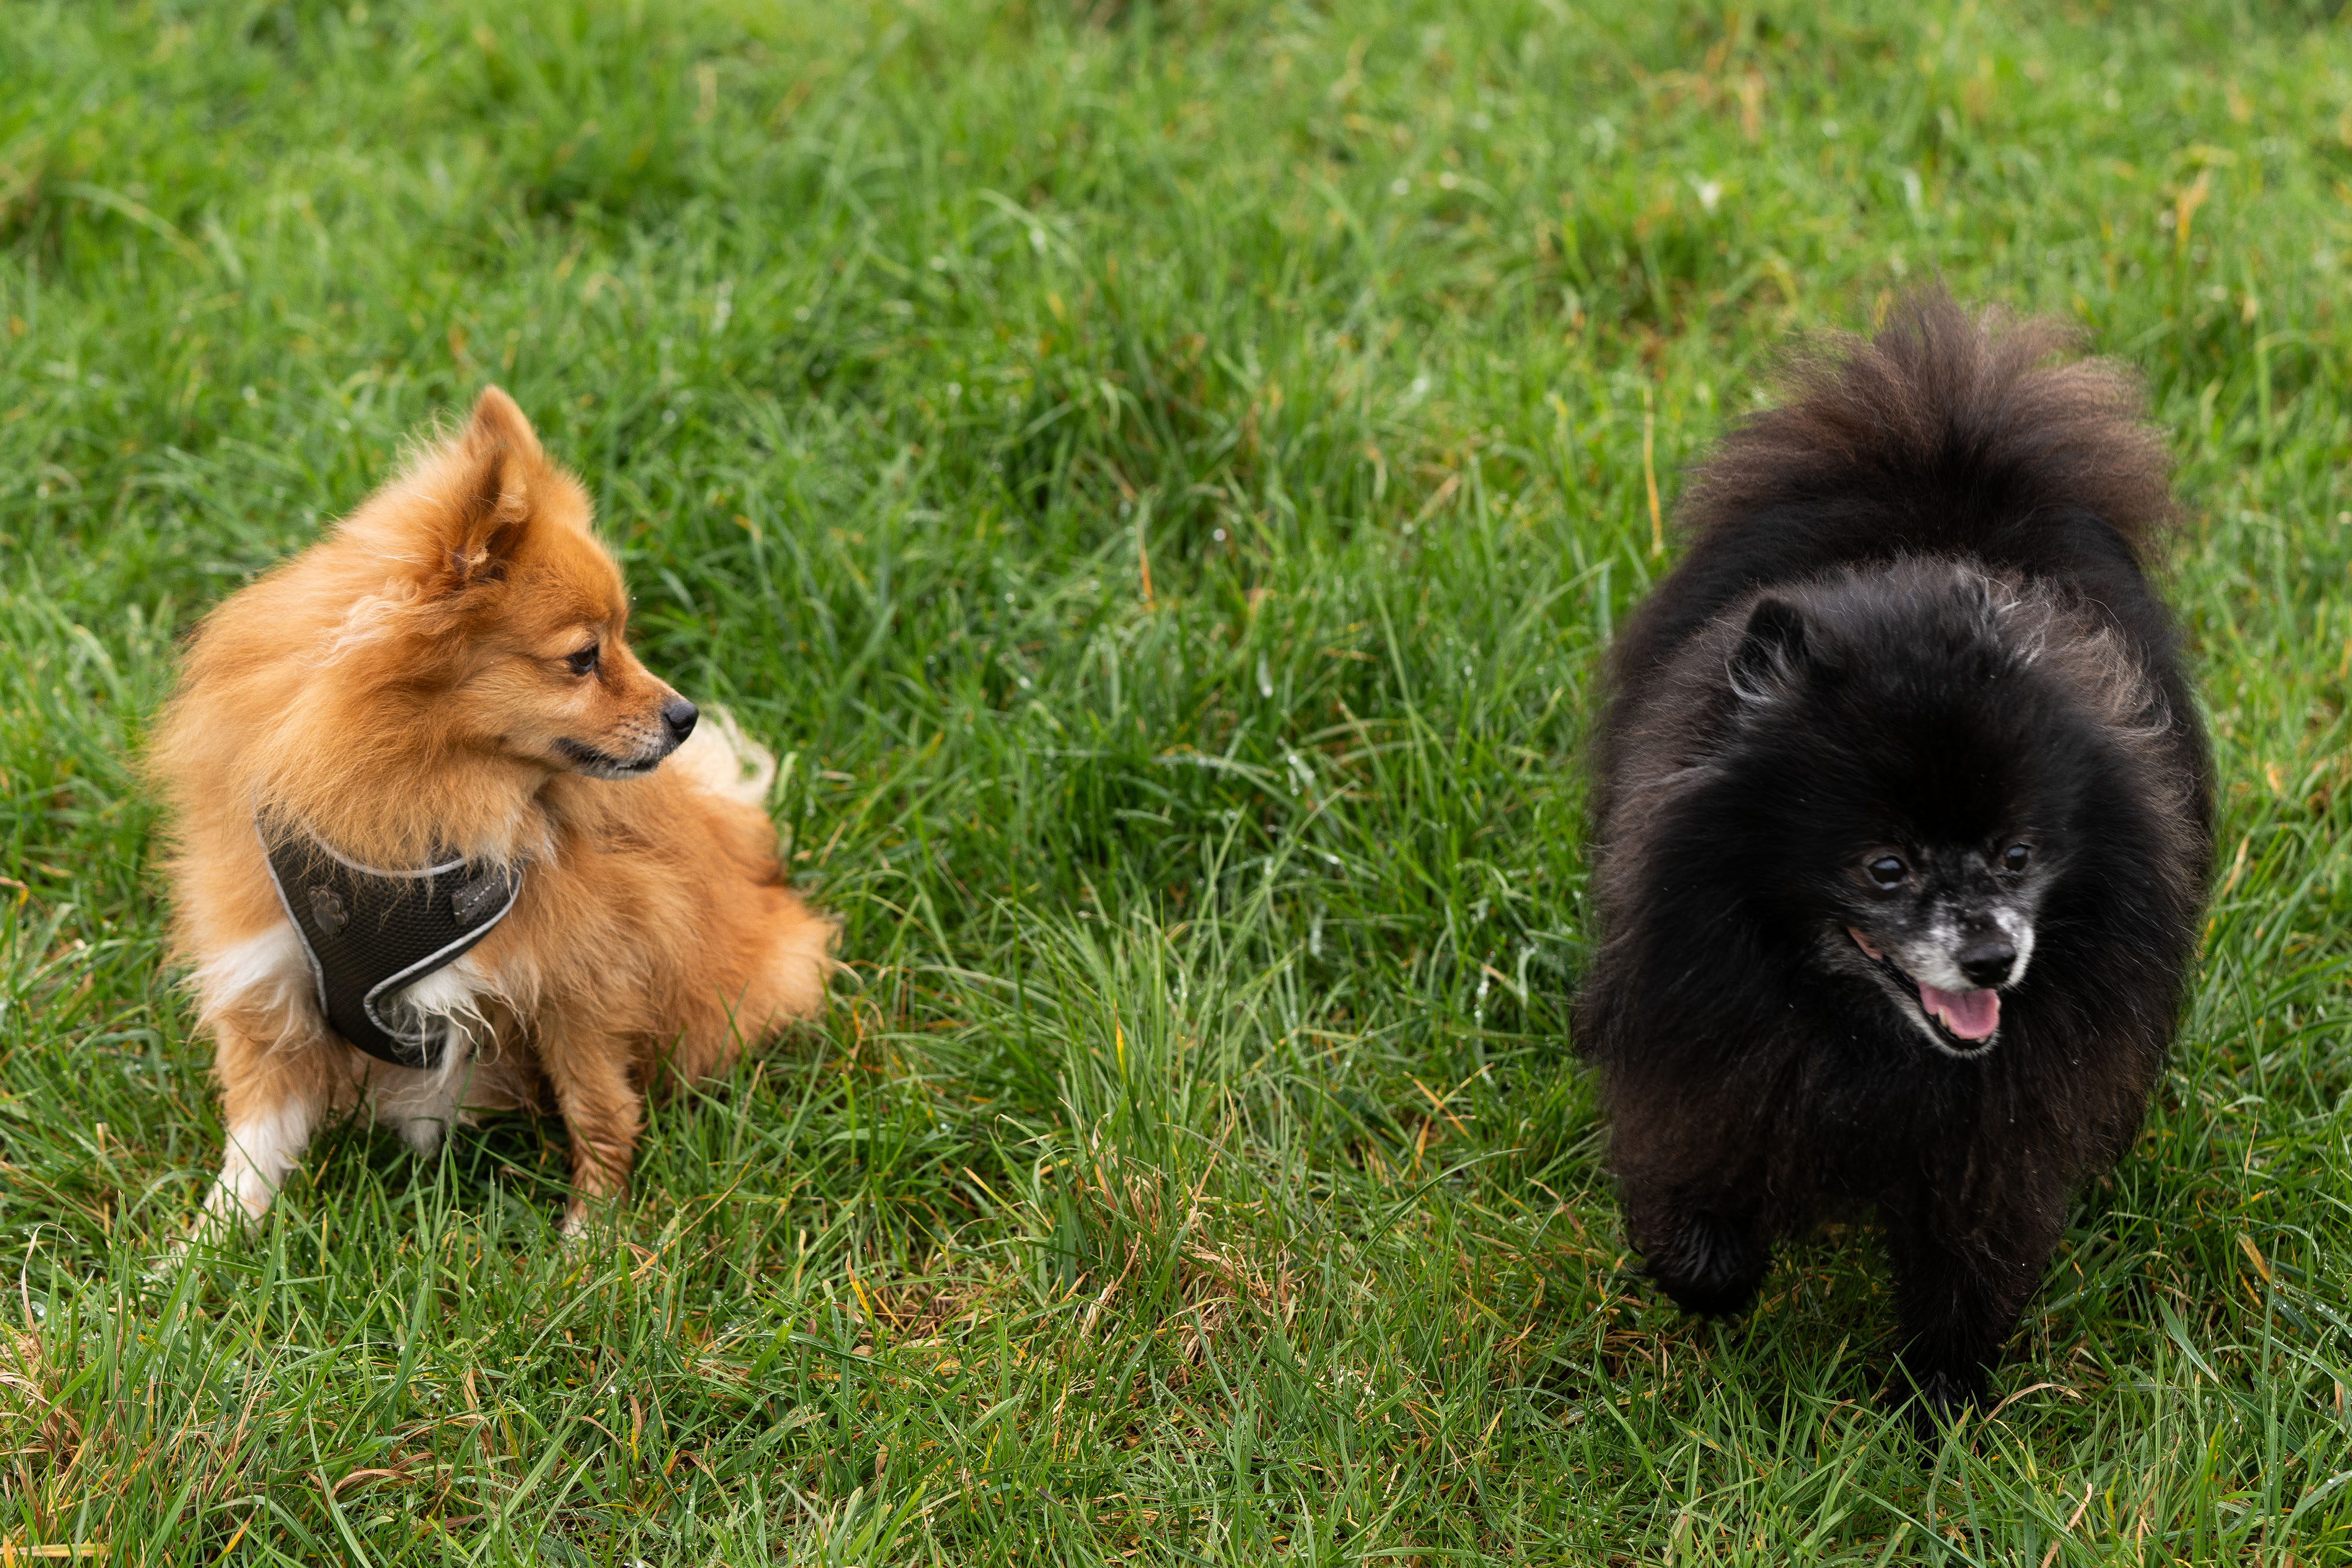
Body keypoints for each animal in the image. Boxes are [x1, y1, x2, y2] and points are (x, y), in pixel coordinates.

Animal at [151, 387, 834, 1235]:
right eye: (585, 657)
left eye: (624, 637)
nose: (686, 715)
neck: (418, 802)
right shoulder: (268, 974)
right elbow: (257, 1136)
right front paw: (206, 1246)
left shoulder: (580, 976)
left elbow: (598, 1110)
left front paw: (592, 1239)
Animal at [1576, 293, 2211, 1431]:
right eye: (1884, 867)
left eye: (2016, 853)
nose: (1994, 957)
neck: (1866, 1039)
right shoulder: (1706, 1059)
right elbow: (1693, 1229)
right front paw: (1720, 1280)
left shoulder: (1997, 1137)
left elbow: (1971, 1272)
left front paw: (1940, 1409)